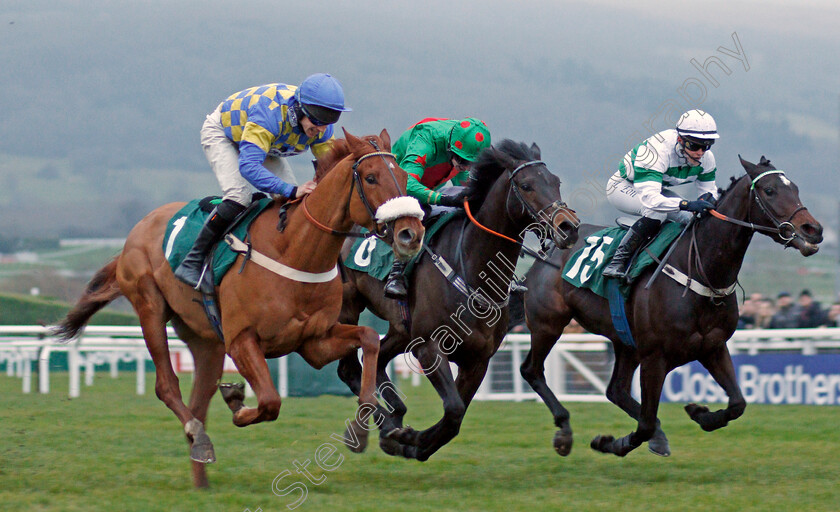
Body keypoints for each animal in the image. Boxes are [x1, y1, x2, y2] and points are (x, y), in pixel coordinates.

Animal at [54, 129, 426, 488]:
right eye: (371, 177)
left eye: (404, 176)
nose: (410, 233)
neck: (295, 250)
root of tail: (139, 229)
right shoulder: (242, 340)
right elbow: (270, 401)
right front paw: (236, 403)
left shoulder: (313, 341)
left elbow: (369, 338)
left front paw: (361, 428)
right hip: (150, 307)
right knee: (168, 386)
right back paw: (199, 437)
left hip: (206, 342)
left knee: (199, 399)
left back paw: (201, 477)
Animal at [334, 139, 576, 460]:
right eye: (526, 186)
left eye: (556, 182)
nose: (568, 226)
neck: (472, 271)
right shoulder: (429, 347)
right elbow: (453, 410)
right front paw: (408, 439)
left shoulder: (477, 360)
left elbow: (454, 420)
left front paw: (411, 441)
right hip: (347, 308)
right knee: (349, 368)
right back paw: (383, 424)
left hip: (402, 329)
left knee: (379, 357)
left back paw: (395, 415)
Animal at [520, 155, 824, 456]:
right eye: (769, 190)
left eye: (795, 188)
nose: (814, 230)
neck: (701, 271)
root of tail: (552, 244)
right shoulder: (655, 358)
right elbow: (645, 424)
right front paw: (611, 443)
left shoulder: (712, 347)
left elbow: (738, 404)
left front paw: (699, 413)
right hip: (548, 323)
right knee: (531, 370)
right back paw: (564, 431)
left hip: (624, 340)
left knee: (616, 390)